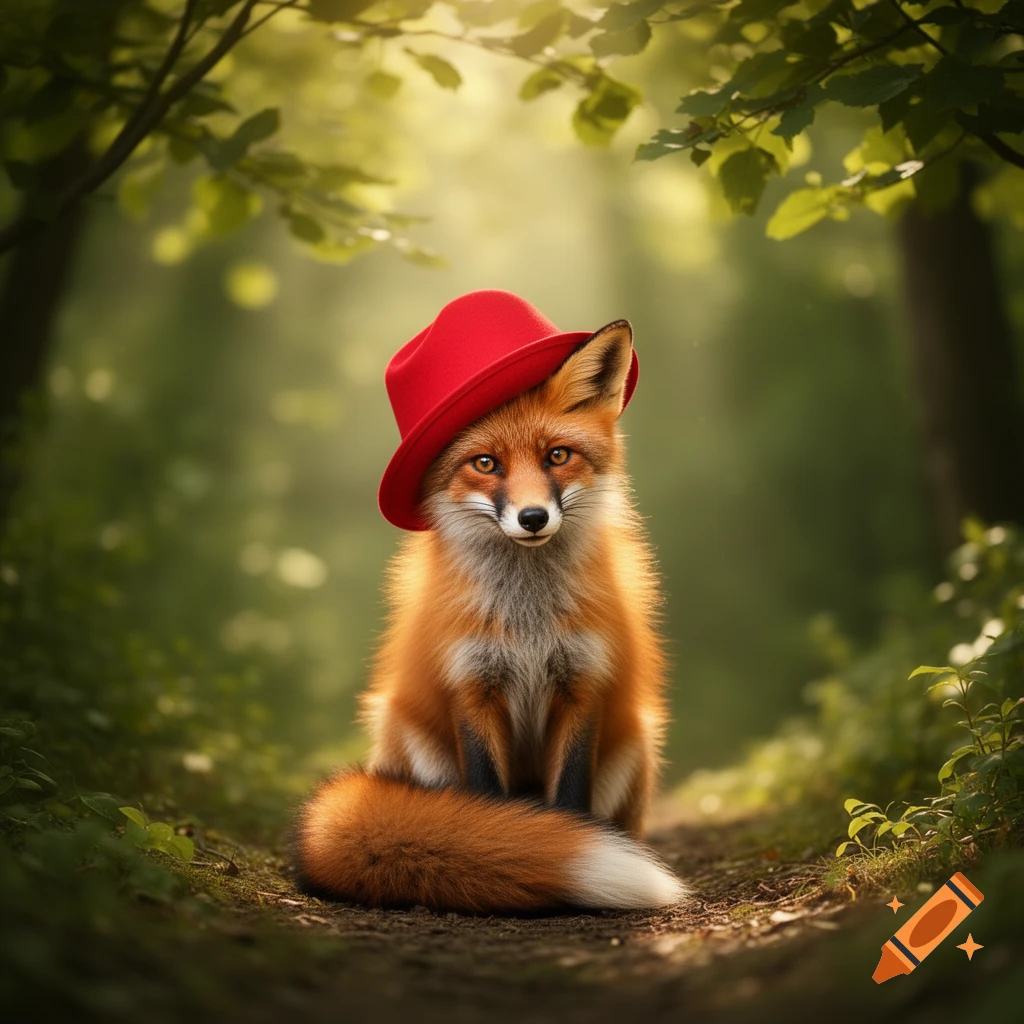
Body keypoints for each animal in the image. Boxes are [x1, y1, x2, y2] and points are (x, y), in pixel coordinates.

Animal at [294, 319, 688, 913]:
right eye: (485, 463)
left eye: (557, 456)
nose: (533, 517)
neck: (528, 621)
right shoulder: (472, 686)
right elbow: (484, 805)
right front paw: (503, 849)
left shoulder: (582, 683)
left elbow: (570, 800)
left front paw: (553, 849)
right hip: (405, 729)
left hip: (638, 739)